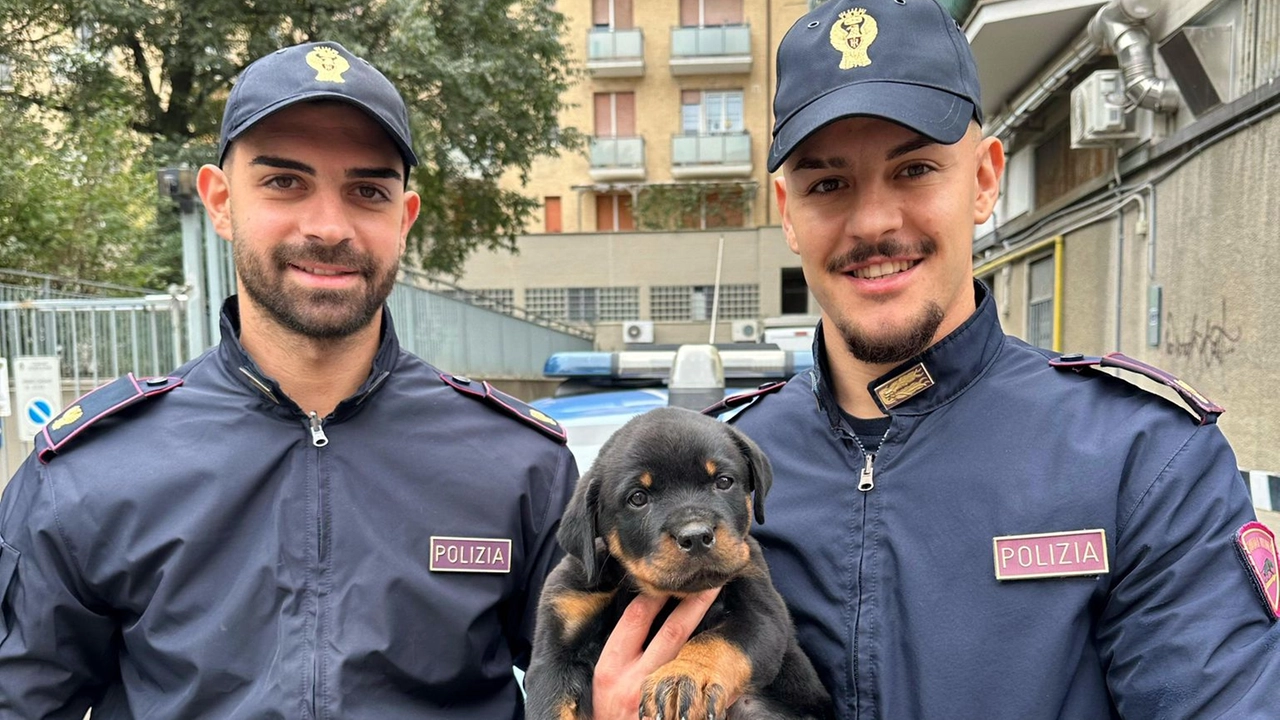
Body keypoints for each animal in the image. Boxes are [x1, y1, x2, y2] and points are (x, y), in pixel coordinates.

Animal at [524, 404, 834, 717]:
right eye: (638, 498)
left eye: (724, 481)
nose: (696, 536)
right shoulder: (557, 645)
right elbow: (550, 706)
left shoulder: (762, 614)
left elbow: (718, 641)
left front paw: (685, 677)